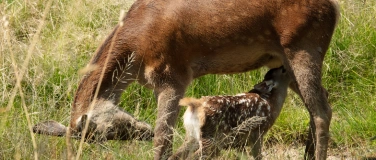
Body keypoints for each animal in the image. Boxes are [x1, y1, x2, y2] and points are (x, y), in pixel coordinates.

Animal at [33, 0, 338, 159]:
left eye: (112, 131)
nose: (140, 131)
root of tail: (333, 9)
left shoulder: (173, 73)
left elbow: (163, 138)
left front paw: (155, 139)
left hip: (305, 46)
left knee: (321, 110)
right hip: (286, 60)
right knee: (320, 104)